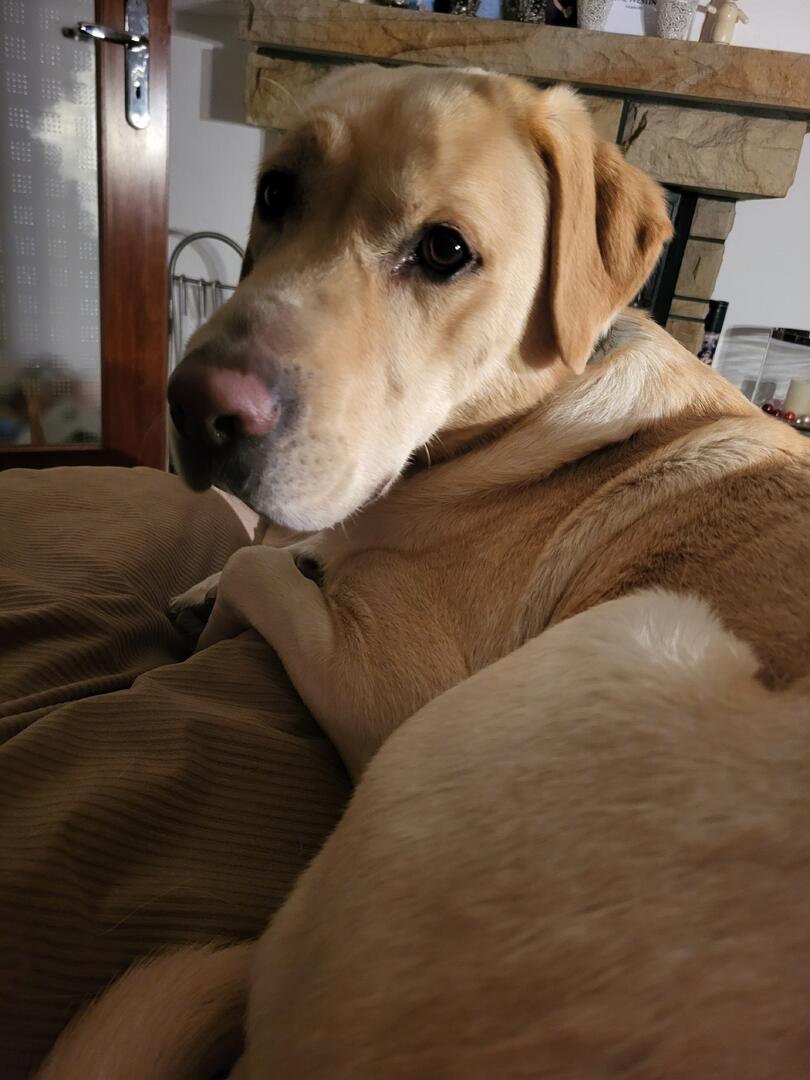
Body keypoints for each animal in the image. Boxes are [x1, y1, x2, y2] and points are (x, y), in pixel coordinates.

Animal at [39, 64, 810, 1076]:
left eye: (445, 251)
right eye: (275, 193)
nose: (195, 408)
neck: (510, 422)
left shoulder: (385, 689)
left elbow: (258, 565)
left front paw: (219, 607)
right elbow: (280, 549)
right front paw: (221, 585)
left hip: (630, 634)